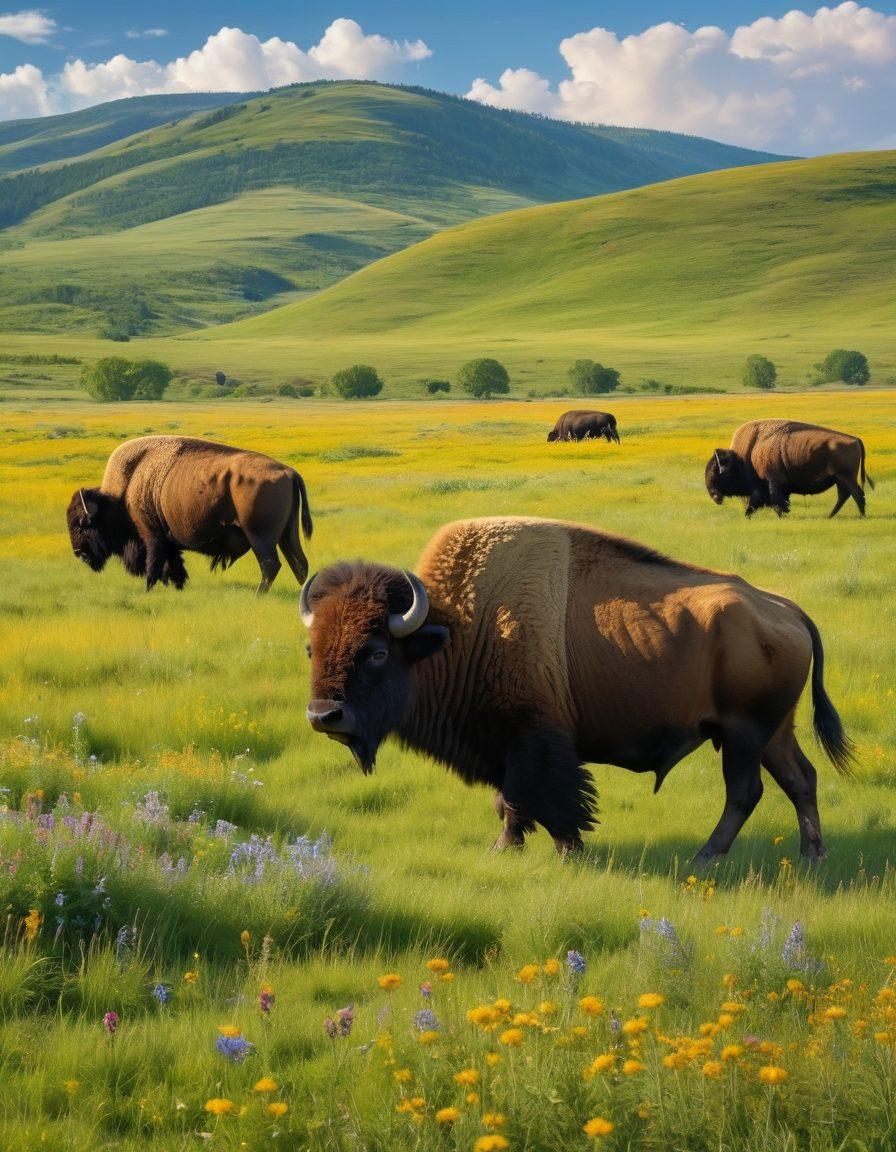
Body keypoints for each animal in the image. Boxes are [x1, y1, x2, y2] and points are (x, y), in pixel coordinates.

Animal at [67, 435, 312, 594]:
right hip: (287, 534)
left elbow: (154, 565)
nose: (79, 553)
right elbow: (174, 566)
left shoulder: (152, 537)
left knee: (271, 564)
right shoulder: (168, 541)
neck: (124, 491)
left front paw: (148, 590)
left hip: (260, 536)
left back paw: (258, 595)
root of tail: (289, 471)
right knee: (299, 564)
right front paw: (178, 587)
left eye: (82, 523)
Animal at [301, 516, 852, 861]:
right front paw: (510, 847)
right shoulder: (502, 745)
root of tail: (784, 607)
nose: (324, 716)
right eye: (312, 649)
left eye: (376, 651)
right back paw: (813, 855)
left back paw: (706, 857)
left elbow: (536, 799)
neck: (457, 630)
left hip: (742, 734)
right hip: (774, 731)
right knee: (800, 779)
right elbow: (509, 801)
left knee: (745, 791)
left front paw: (560, 849)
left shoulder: (533, 740)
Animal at [705, 419, 873, 518]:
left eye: (715, 470)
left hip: (846, 477)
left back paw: (861, 516)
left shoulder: (772, 481)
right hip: (840, 479)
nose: (714, 495)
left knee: (856, 494)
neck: (747, 455)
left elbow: (775, 501)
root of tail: (855, 439)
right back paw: (830, 516)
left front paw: (783, 515)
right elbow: (758, 503)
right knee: (845, 495)